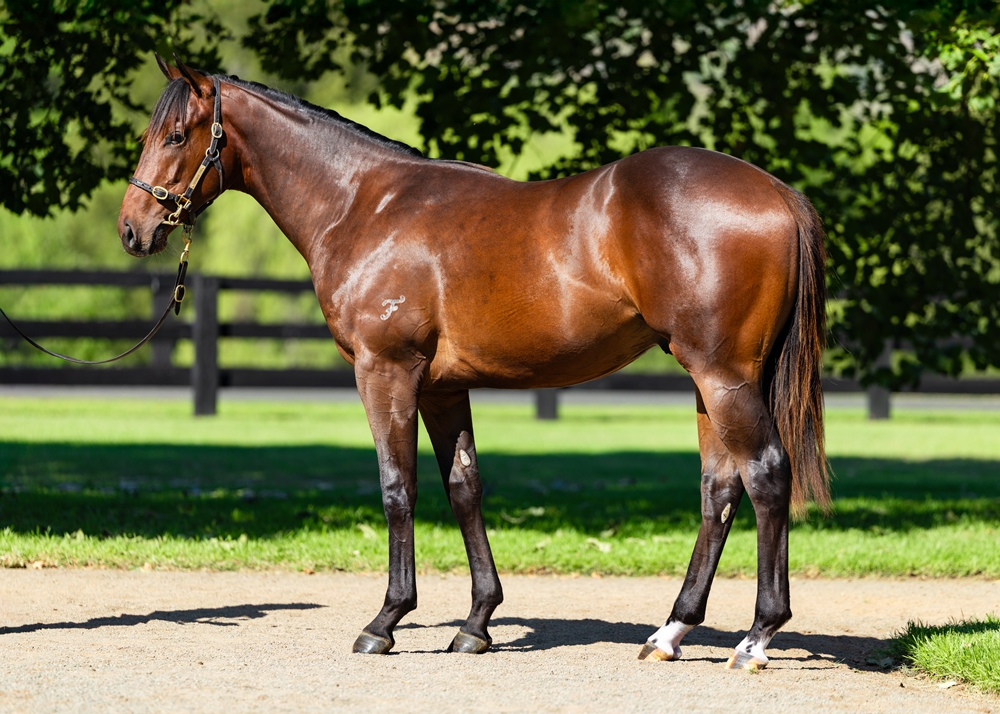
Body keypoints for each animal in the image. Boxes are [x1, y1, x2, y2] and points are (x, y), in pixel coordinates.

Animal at [119, 57, 828, 670]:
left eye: (176, 135)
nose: (132, 228)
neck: (364, 204)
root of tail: (775, 193)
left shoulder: (385, 372)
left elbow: (397, 488)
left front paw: (386, 621)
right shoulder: (441, 388)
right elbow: (465, 488)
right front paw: (477, 623)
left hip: (724, 376)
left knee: (767, 476)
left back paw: (757, 637)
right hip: (709, 383)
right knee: (719, 491)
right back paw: (670, 632)